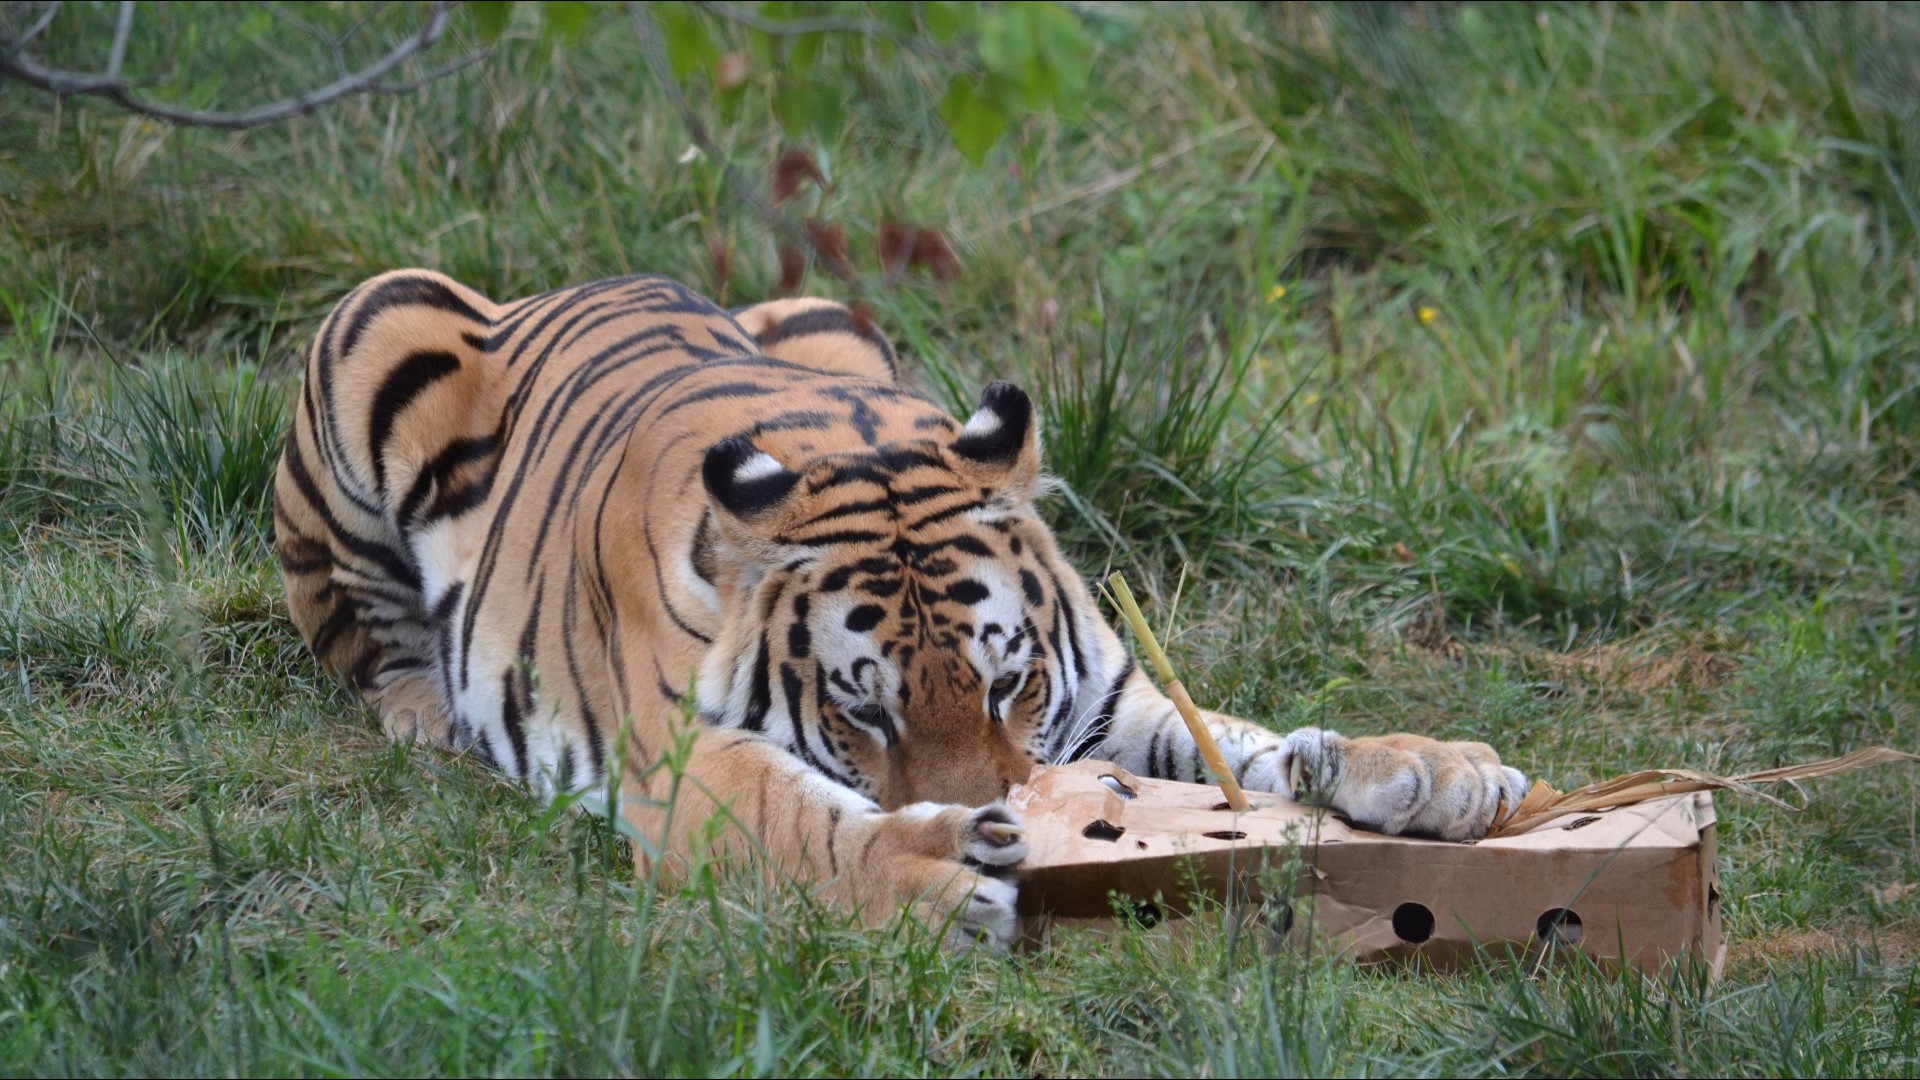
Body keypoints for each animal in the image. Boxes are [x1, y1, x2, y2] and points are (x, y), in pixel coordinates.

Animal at [274, 267, 1528, 941]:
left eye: (1009, 682)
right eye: (862, 711)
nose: (1015, 829)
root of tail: (586, 279)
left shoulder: (1108, 698)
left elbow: (1241, 739)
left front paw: (1431, 770)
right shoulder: (675, 756)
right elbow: (794, 822)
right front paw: (935, 877)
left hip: (830, 310)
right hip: (379, 322)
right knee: (360, 632)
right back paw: (431, 715)